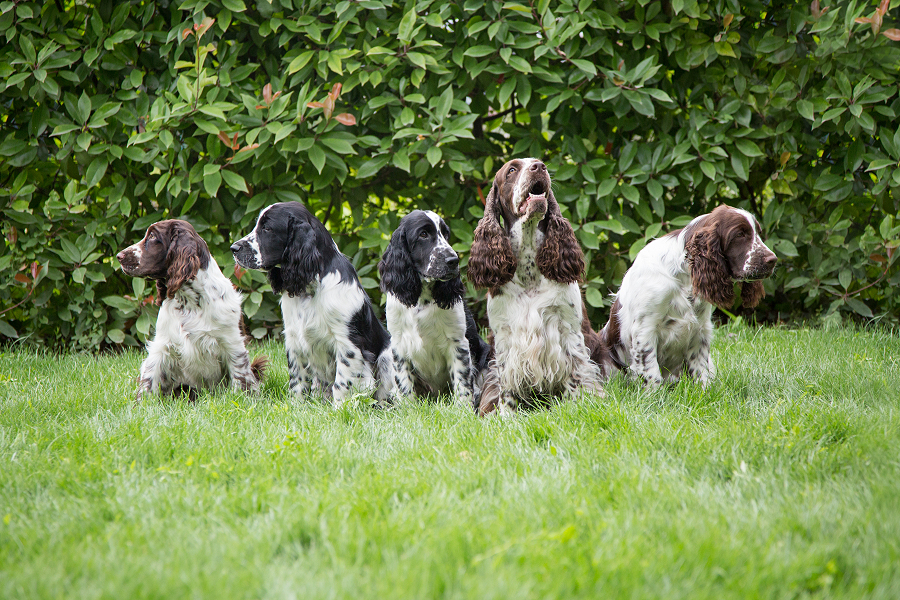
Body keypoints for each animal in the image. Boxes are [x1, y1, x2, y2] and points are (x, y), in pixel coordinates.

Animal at [116, 218, 266, 400]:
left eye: (152, 236)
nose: (119, 256)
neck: (188, 302)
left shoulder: (232, 342)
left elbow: (241, 378)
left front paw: (244, 399)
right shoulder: (162, 345)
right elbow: (149, 379)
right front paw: (142, 403)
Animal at [230, 203, 392, 408]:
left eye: (267, 228)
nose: (233, 248)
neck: (311, 286)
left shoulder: (348, 343)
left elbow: (342, 382)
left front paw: (339, 409)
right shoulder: (294, 339)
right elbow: (297, 382)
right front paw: (295, 407)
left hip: (387, 354)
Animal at [380, 209, 492, 410]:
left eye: (446, 234)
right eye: (423, 234)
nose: (453, 260)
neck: (421, 300)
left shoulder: (457, 342)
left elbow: (463, 382)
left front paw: (463, 410)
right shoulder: (398, 345)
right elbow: (404, 385)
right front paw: (408, 411)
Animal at [464, 157, 604, 414]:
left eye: (540, 163)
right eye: (511, 170)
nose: (539, 167)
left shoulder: (567, 331)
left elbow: (575, 373)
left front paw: (575, 407)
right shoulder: (505, 336)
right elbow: (506, 383)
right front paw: (506, 415)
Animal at [596, 204, 772, 386]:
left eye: (758, 232)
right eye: (739, 234)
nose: (773, 260)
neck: (684, 276)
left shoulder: (700, 330)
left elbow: (701, 369)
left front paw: (705, 389)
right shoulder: (645, 330)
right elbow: (651, 371)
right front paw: (654, 392)